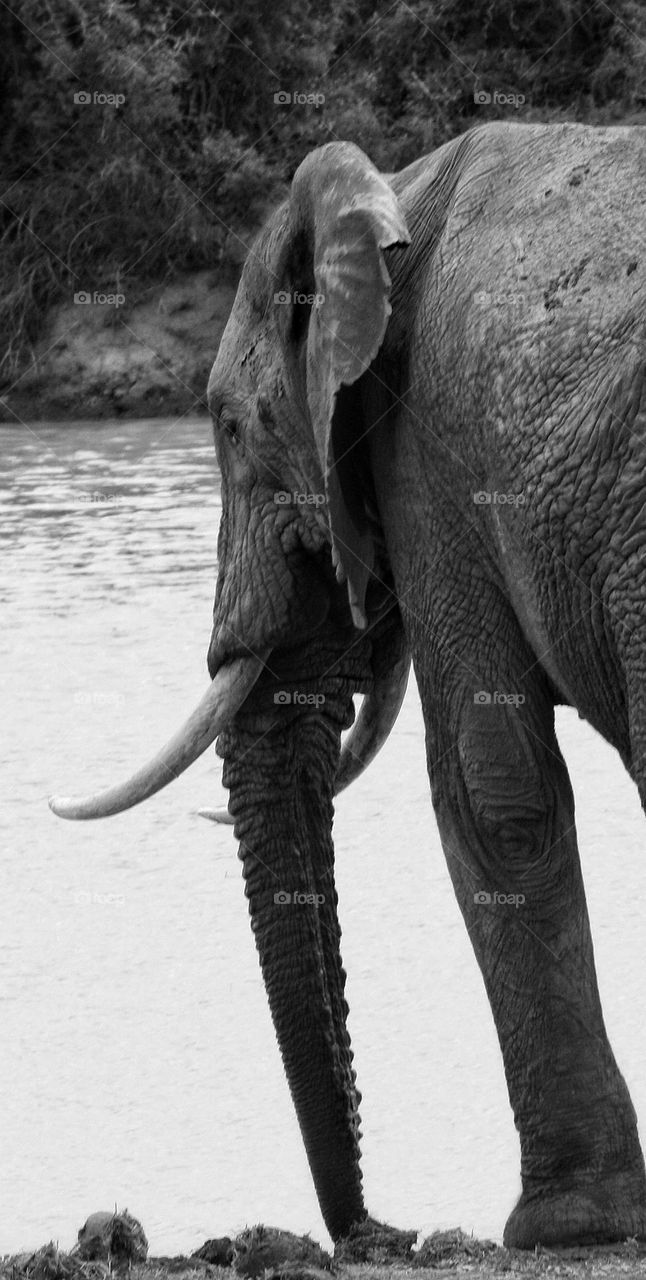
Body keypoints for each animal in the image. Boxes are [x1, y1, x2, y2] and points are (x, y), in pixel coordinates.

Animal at [51, 117, 646, 1239]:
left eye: (229, 426)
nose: (380, 1230)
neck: (394, 193)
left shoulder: (433, 455)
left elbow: (491, 786)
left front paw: (566, 1224)